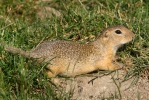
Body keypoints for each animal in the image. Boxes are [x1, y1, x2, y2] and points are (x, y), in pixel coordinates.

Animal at [4, 25, 134, 77]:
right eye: (118, 32)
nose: (133, 35)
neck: (104, 46)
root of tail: (36, 53)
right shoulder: (101, 60)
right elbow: (107, 66)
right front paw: (119, 65)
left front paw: (118, 59)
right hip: (55, 67)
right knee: (48, 75)